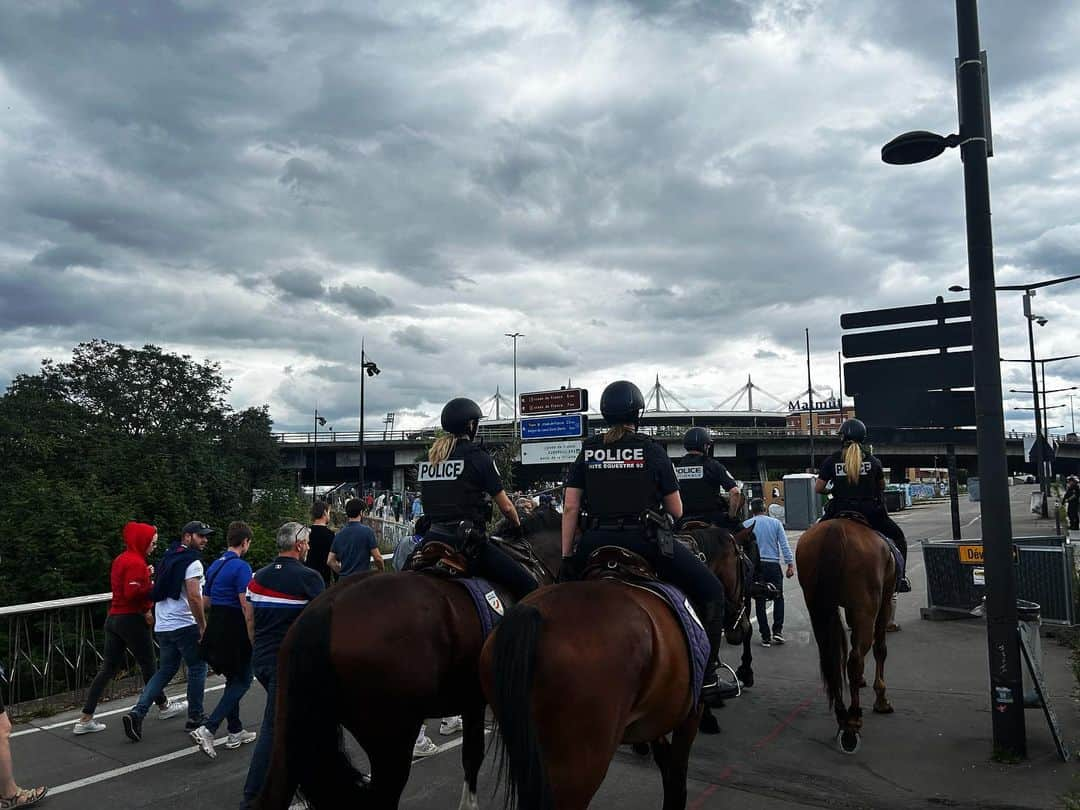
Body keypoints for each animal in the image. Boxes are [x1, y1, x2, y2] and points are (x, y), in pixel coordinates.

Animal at [477, 522, 756, 807]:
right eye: (745, 566)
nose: (742, 628)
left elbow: (666, 765)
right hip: (578, 766)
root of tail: (532, 614)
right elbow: (677, 778)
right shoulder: (689, 714)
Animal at [799, 520, 898, 756]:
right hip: (867, 606)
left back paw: (842, 713)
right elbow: (880, 649)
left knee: (830, 658)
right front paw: (881, 698)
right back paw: (852, 720)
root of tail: (835, 528)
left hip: (817, 606)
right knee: (855, 659)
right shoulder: (884, 601)